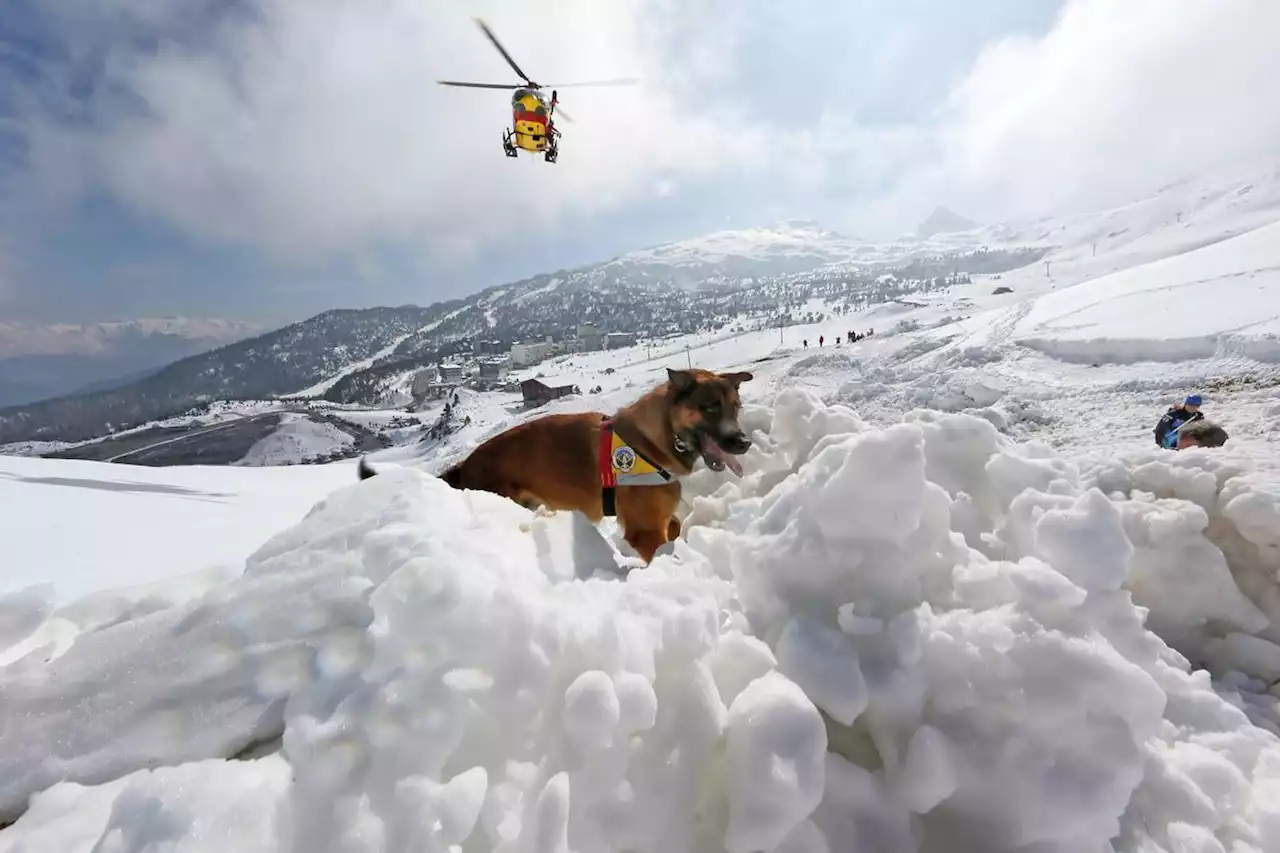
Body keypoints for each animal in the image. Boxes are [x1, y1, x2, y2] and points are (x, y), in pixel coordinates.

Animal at [355, 363, 747, 558]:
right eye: (710, 407)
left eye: (736, 407)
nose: (743, 442)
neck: (653, 441)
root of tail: (464, 464)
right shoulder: (645, 531)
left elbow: (676, 526)